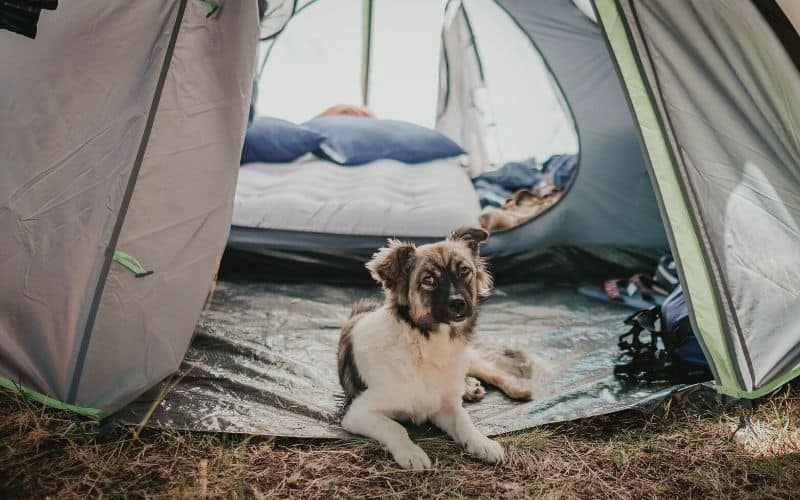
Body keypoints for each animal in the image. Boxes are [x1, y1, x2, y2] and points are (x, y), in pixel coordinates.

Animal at [336, 227, 532, 468]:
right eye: (428, 280)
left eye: (464, 270)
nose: (458, 303)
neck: (427, 346)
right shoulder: (358, 412)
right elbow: (395, 427)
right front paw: (411, 453)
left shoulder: (445, 408)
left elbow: (464, 421)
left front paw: (482, 443)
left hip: (468, 359)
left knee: (491, 371)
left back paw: (514, 388)